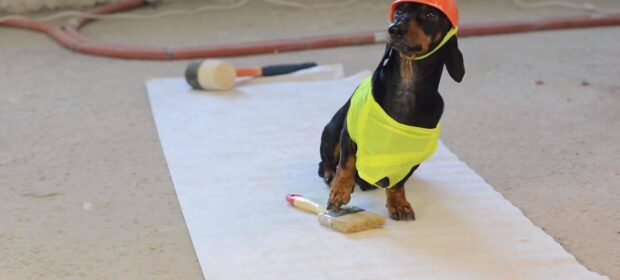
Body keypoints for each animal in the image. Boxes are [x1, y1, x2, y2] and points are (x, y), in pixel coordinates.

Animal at [318, 1, 462, 222]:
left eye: (430, 14)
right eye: (400, 10)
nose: (394, 29)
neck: (405, 86)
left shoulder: (411, 158)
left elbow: (398, 182)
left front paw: (398, 203)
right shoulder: (348, 134)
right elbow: (346, 164)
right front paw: (339, 191)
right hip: (332, 131)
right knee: (326, 163)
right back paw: (330, 175)